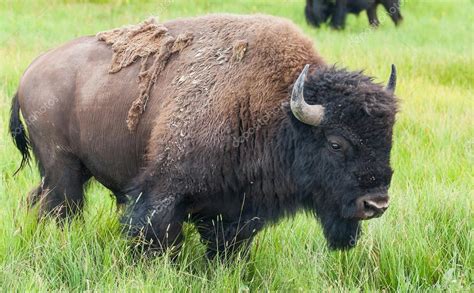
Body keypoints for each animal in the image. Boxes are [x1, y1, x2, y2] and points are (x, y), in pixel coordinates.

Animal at [10, 13, 396, 258]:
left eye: (388, 140)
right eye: (336, 143)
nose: (376, 204)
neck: (276, 109)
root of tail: (30, 72)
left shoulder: (237, 209)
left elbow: (227, 245)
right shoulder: (162, 192)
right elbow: (156, 235)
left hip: (66, 172)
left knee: (38, 200)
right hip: (64, 170)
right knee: (60, 207)